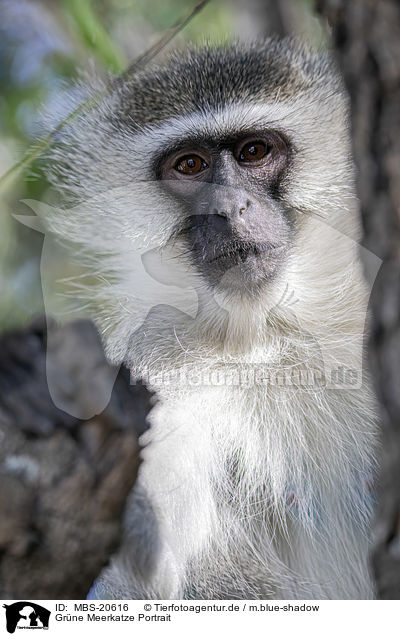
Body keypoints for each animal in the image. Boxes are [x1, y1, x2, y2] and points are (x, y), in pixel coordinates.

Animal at [46, 41, 378, 600]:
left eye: (253, 152)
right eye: (190, 164)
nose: (227, 208)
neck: (268, 335)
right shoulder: (155, 363)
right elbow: (145, 572)